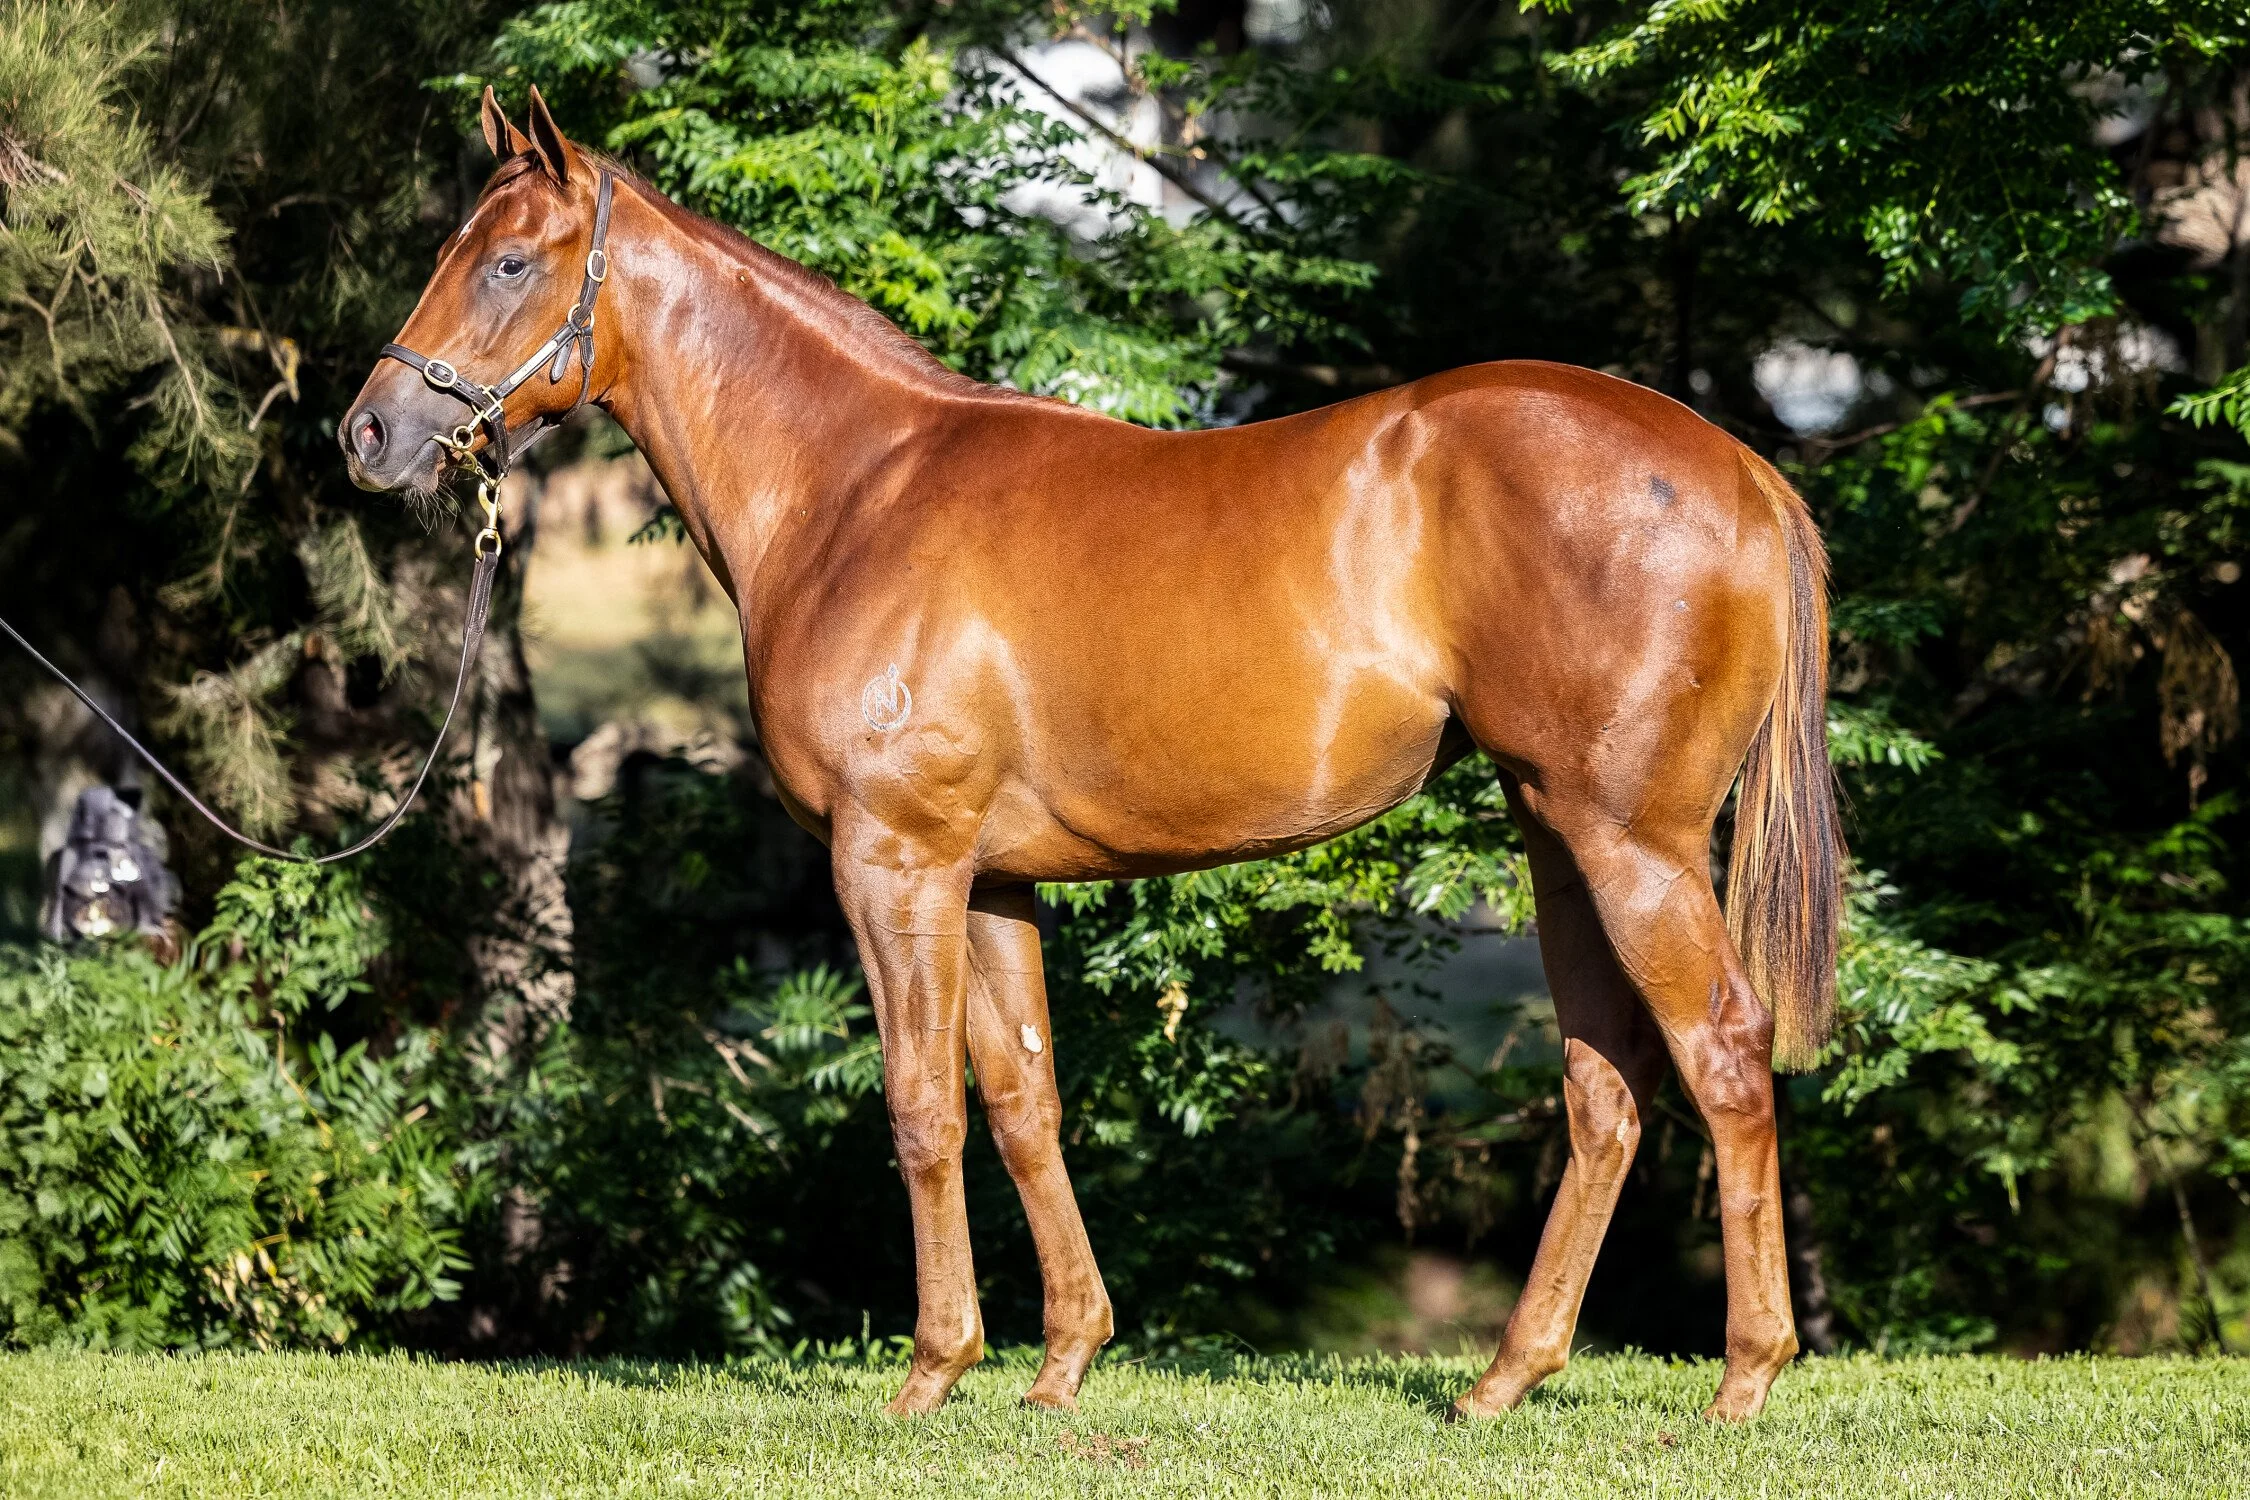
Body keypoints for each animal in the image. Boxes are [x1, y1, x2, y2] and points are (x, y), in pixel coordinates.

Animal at [343, 86, 1841, 1423]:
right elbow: (1021, 1102)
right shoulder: (992, 880)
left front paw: (932, 1369)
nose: (366, 432)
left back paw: (1743, 1379)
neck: (855, 490)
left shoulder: (894, 863)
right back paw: (1504, 1380)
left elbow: (922, 1108)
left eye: (509, 261)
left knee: (1722, 1053)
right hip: (1555, 838)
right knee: (1606, 1086)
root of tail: (1743, 472)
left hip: (1628, 843)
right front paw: (1061, 1362)